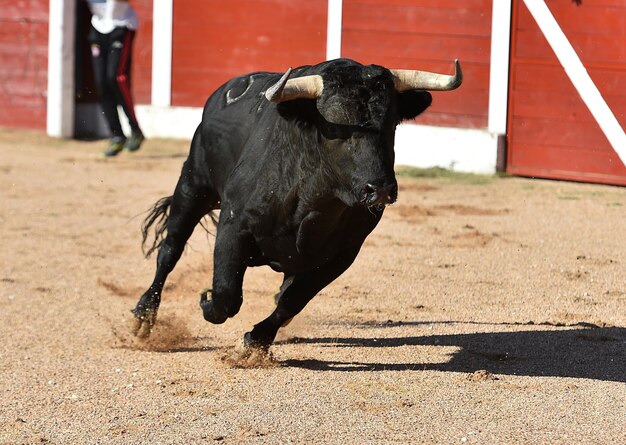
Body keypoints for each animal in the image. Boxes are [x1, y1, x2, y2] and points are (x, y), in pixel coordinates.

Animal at [130, 58, 458, 350]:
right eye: (335, 128)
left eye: (391, 124)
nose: (379, 190)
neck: (314, 201)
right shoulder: (234, 226)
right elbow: (226, 296)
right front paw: (207, 301)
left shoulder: (344, 253)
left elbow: (292, 300)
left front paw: (255, 342)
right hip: (193, 186)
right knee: (170, 250)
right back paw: (143, 316)